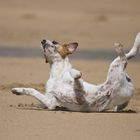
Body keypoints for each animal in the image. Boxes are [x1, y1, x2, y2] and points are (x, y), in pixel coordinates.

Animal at [11, 32, 140, 111]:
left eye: (55, 42)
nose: (42, 40)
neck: (57, 74)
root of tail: (128, 80)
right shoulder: (50, 102)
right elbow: (31, 90)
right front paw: (18, 90)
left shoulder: (81, 90)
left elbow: (76, 77)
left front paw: (75, 73)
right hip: (116, 70)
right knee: (127, 57)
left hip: (114, 66)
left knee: (126, 56)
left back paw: (121, 46)